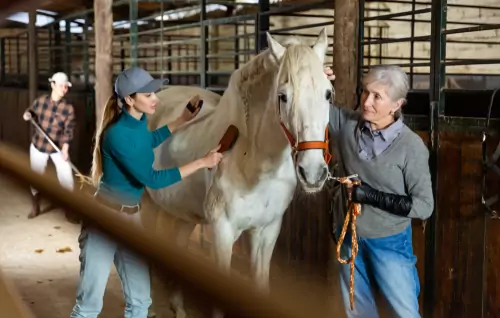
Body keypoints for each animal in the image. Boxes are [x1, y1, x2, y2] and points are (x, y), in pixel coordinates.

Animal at [144, 28, 332, 316]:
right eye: (283, 96)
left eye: (328, 94)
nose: (312, 172)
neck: (250, 162)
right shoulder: (222, 233)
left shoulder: (266, 233)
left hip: (183, 213)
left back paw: (178, 307)